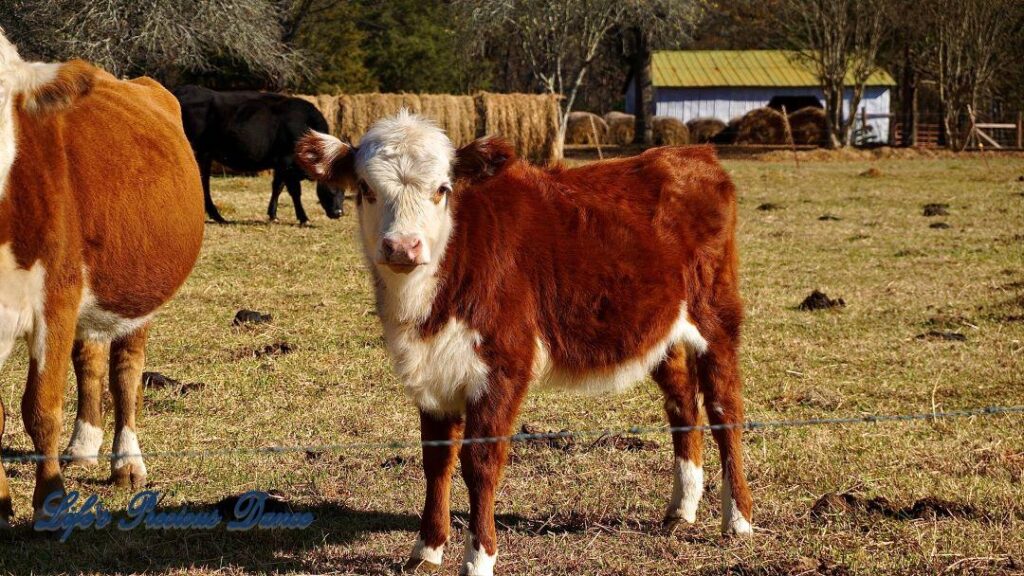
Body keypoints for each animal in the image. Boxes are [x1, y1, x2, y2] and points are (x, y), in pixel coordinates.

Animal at [0, 32, 203, 524]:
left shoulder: (55, 298)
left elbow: (41, 408)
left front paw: (51, 503)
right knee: (89, 357)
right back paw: (82, 446)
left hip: (138, 289)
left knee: (126, 372)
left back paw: (127, 462)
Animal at [169, 86, 342, 223]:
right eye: (331, 187)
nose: (339, 212)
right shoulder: (287, 162)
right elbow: (294, 191)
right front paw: (303, 218)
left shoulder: (279, 165)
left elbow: (277, 187)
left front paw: (273, 215)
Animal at [296, 109, 753, 569]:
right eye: (366, 189)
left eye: (442, 189)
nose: (403, 247)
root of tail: (692, 153)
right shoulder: (434, 370)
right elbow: (436, 459)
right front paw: (427, 549)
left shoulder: (503, 366)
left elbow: (480, 463)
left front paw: (479, 557)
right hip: (663, 331)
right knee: (683, 406)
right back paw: (681, 510)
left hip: (715, 316)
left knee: (724, 408)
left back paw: (738, 520)